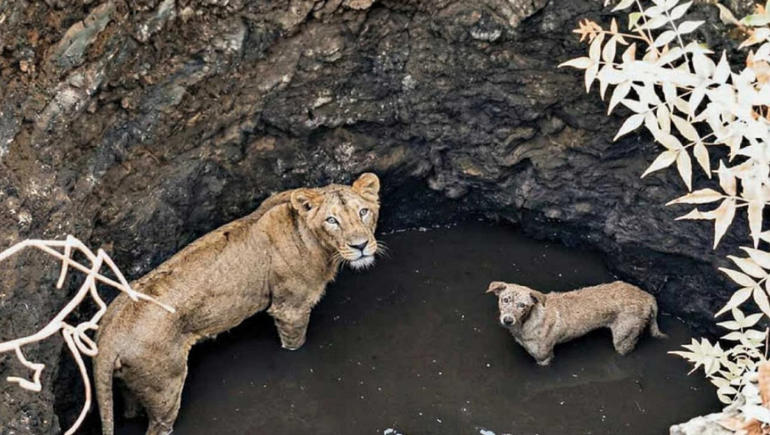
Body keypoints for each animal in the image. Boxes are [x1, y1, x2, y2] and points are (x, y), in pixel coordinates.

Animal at [94, 173, 381, 435]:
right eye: (332, 220)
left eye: (363, 212)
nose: (360, 245)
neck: (316, 242)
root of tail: (108, 334)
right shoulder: (290, 308)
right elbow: (294, 343)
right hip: (165, 387)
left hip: (130, 383)